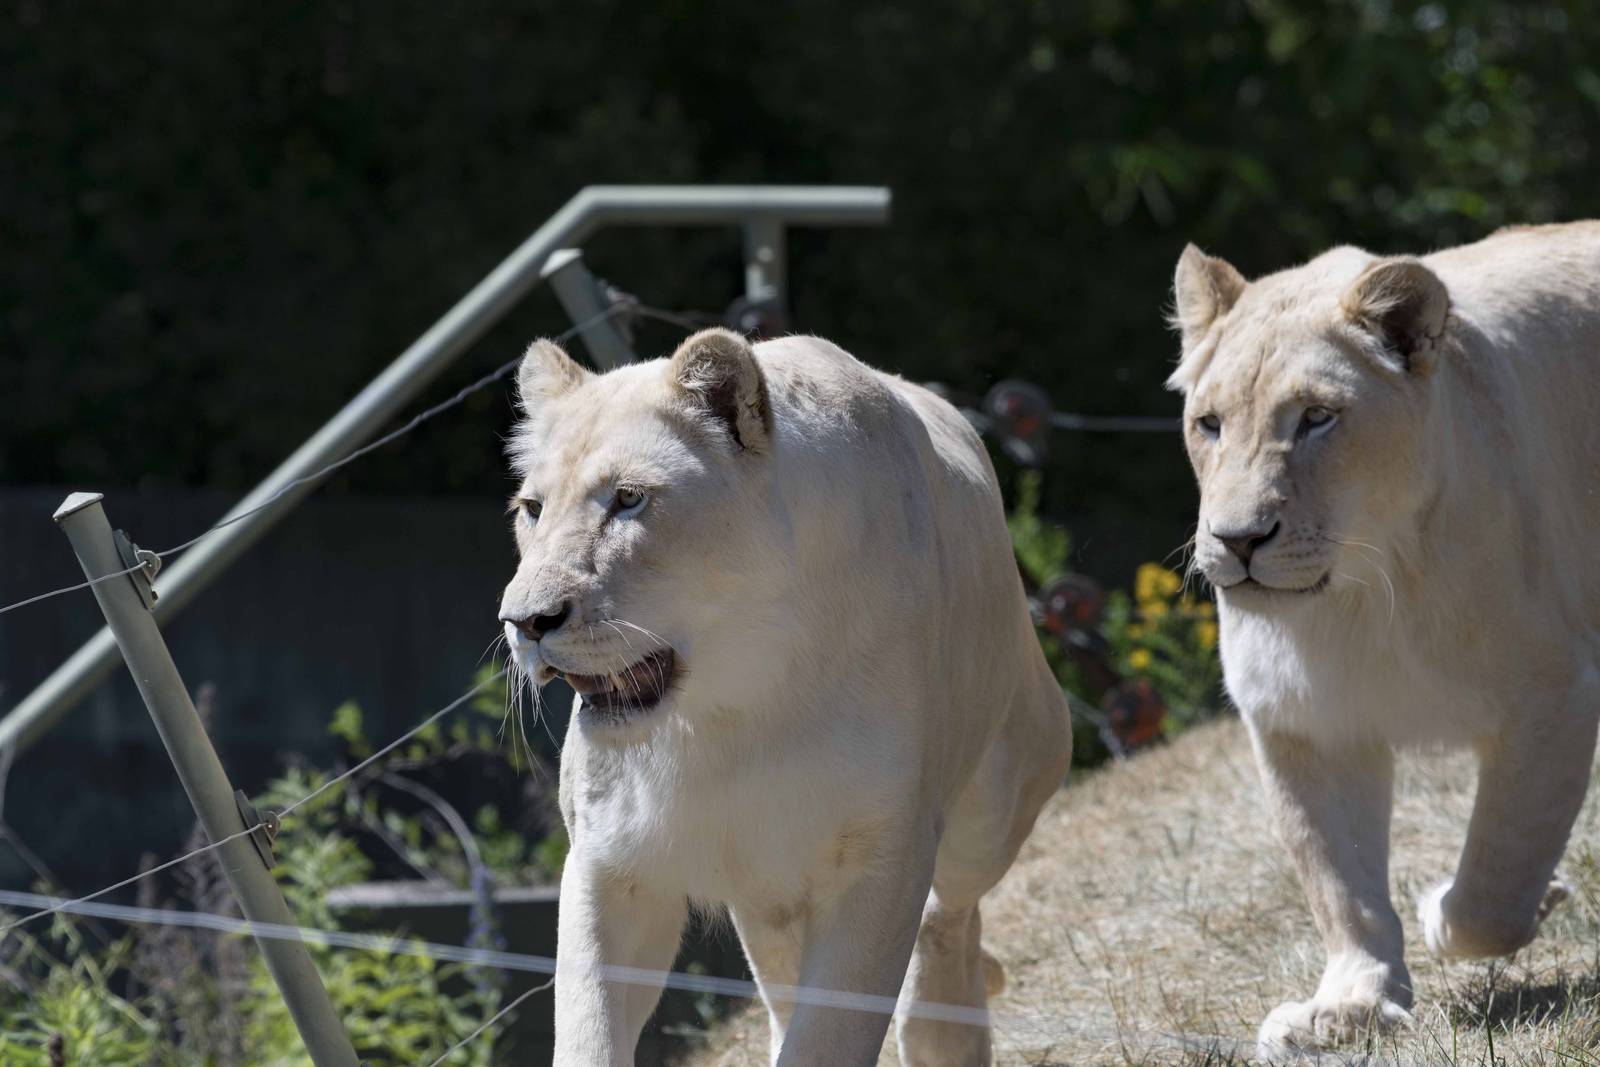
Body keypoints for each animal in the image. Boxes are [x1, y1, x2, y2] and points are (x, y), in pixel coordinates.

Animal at [496, 327, 1072, 1065]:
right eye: (532, 509)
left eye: (628, 498)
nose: (524, 621)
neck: (734, 708)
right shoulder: (611, 861)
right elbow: (588, 1031)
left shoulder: (883, 856)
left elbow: (829, 1033)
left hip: (1000, 802)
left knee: (951, 916)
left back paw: (944, 1035)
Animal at [1167, 221, 1600, 1058]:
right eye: (1209, 424)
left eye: (1315, 417)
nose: (1238, 539)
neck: (1360, 597)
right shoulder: (1303, 723)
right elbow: (1339, 882)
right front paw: (1352, 1005)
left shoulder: (1554, 694)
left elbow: (1494, 882)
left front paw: (1456, 906)